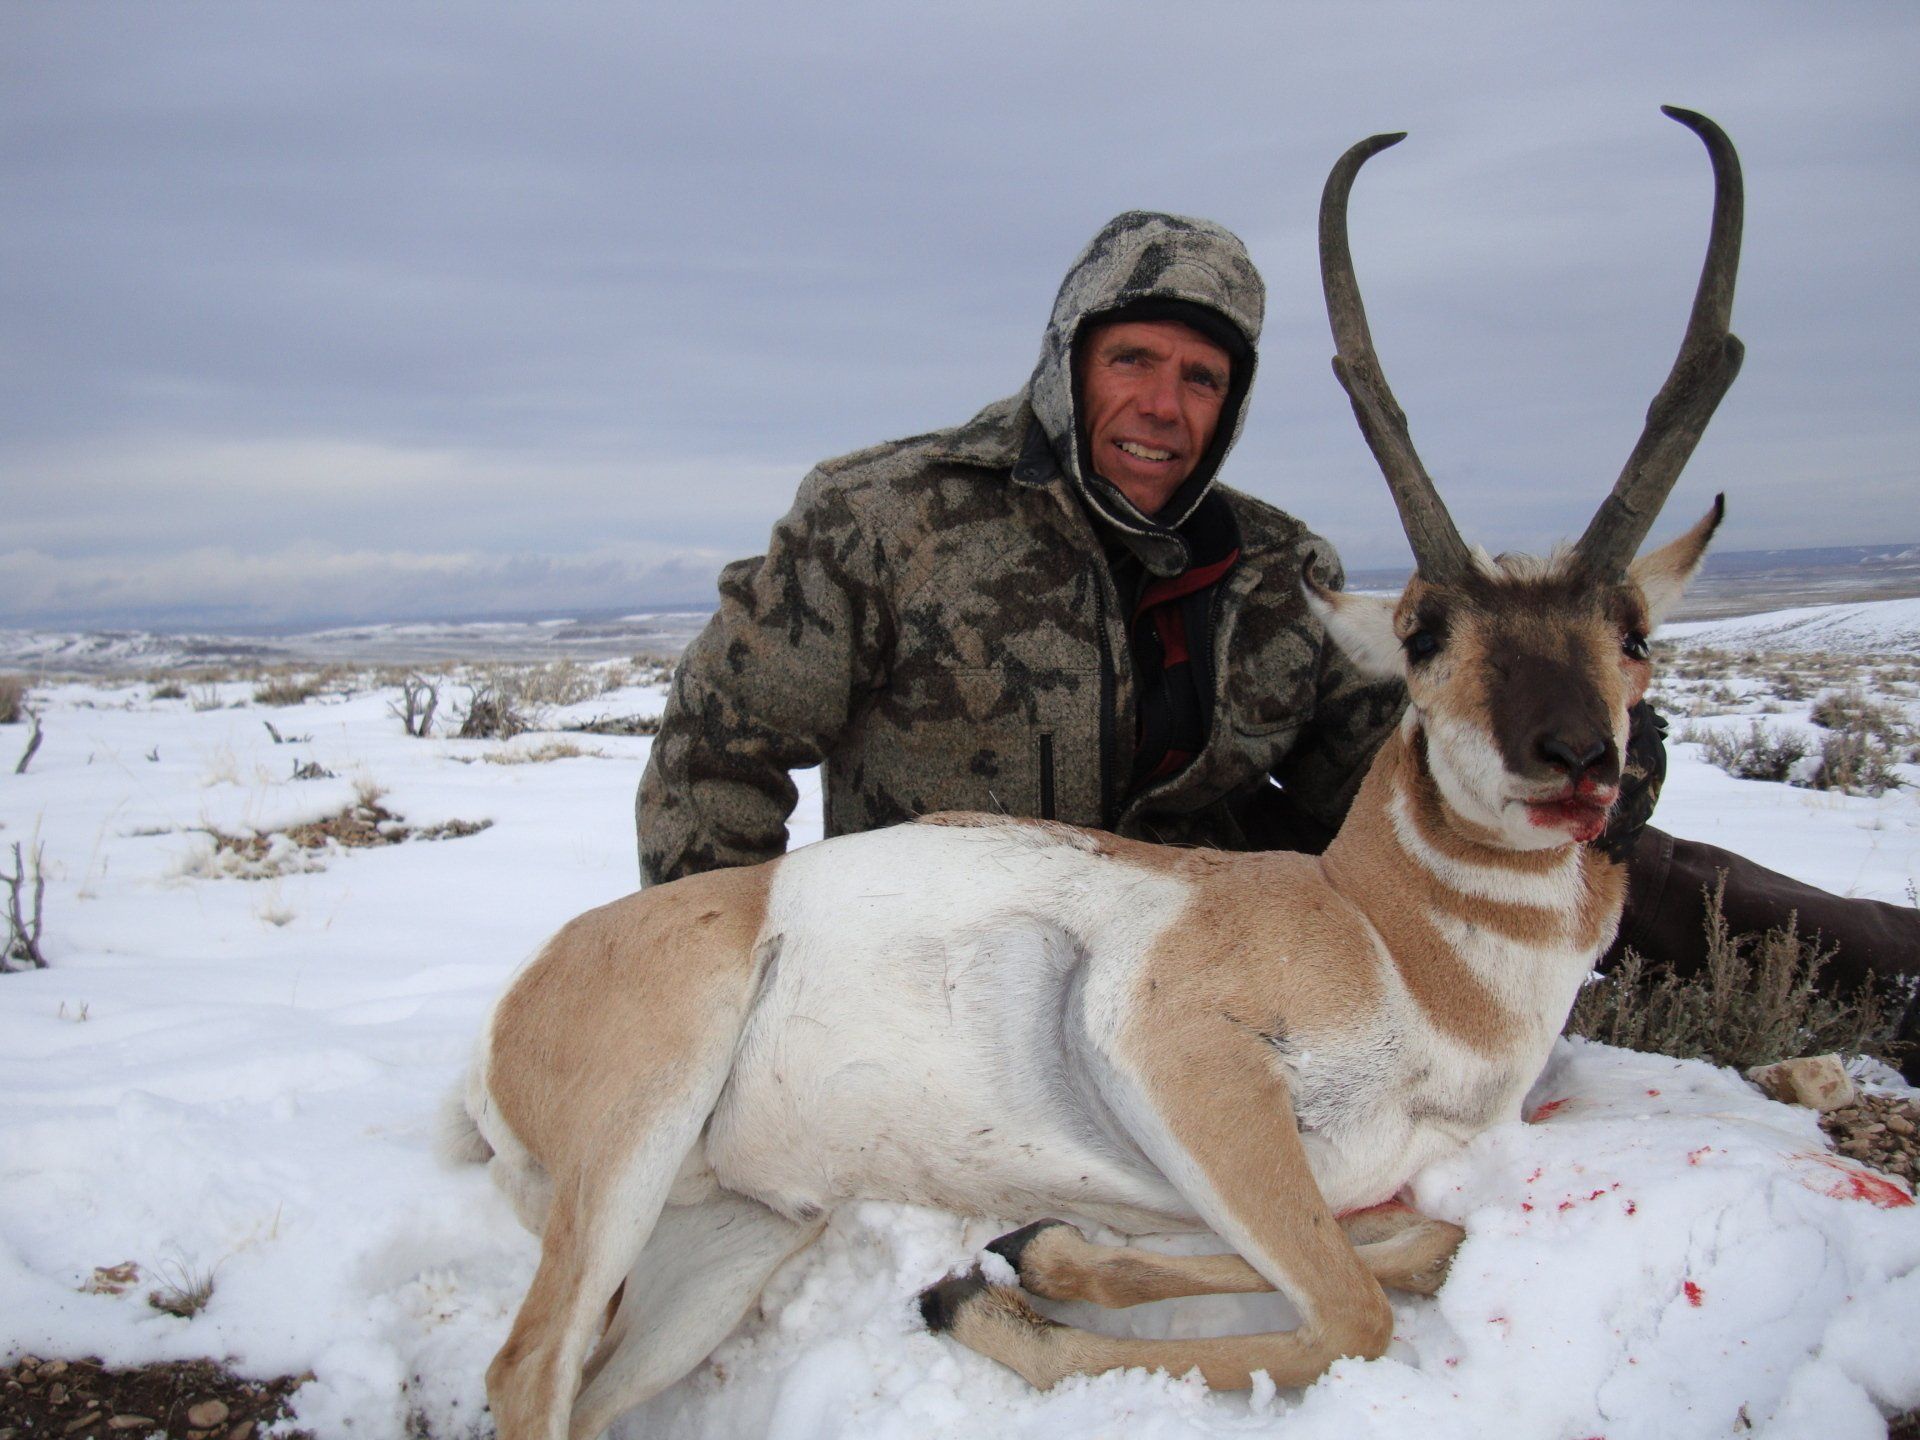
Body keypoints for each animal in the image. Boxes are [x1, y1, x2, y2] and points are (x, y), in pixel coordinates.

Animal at [448, 106, 1745, 1440]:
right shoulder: (1187, 1063)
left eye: (1636, 633)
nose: (1579, 761)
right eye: (1426, 630)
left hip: (734, 1234)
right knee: (523, 1372)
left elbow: (1415, 1244)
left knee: (581, 1394)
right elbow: (1352, 1312)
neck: (1388, 934)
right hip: (640, 1136)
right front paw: (985, 1289)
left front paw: (1019, 1258)